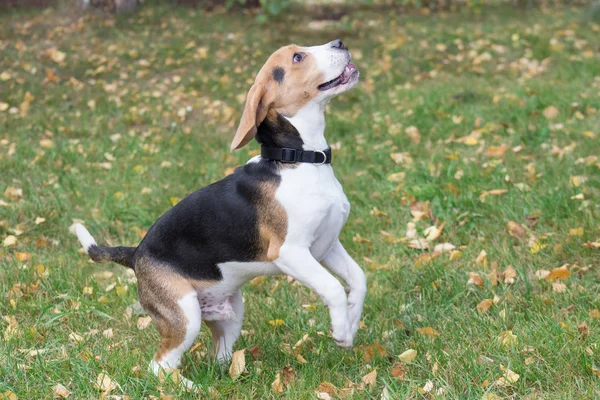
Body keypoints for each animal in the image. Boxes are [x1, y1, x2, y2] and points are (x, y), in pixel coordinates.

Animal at [75, 39, 366, 388]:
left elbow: (358, 279)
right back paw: (190, 387)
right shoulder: (291, 253)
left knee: (218, 357)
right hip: (185, 316)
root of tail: (135, 254)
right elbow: (333, 287)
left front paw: (352, 321)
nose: (340, 42)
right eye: (298, 56)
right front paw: (340, 331)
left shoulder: (326, 245)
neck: (298, 159)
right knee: (159, 366)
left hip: (232, 313)